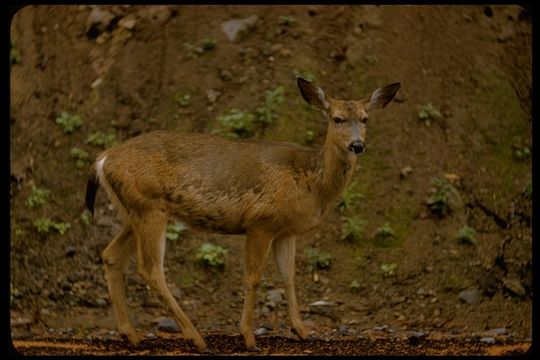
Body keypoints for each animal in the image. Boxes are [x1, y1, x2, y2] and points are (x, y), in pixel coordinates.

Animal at [86, 76, 398, 352]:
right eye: (337, 118)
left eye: (365, 119)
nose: (357, 145)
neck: (311, 182)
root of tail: (102, 160)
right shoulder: (261, 223)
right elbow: (253, 277)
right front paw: (248, 337)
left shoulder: (287, 231)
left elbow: (289, 276)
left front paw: (301, 331)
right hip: (149, 206)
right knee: (150, 268)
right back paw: (197, 339)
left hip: (134, 211)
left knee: (111, 255)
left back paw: (131, 335)